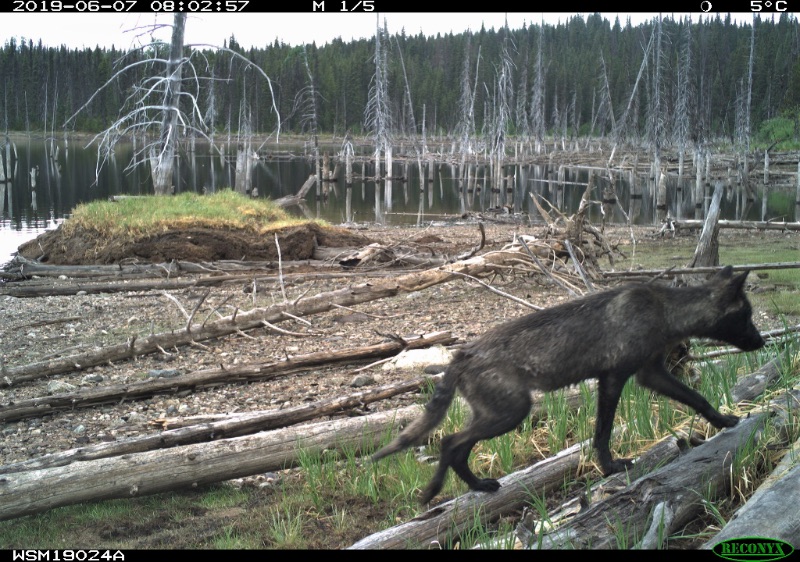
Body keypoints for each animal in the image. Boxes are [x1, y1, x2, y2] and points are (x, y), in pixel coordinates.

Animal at [372, 266, 765, 504]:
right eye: (747, 315)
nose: (761, 342)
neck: (665, 311)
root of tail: (461, 355)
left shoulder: (648, 374)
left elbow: (698, 399)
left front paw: (725, 421)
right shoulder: (615, 378)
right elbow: (603, 432)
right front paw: (610, 468)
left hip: (497, 414)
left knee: (454, 446)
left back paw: (478, 486)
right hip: (512, 413)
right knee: (449, 442)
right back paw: (434, 491)